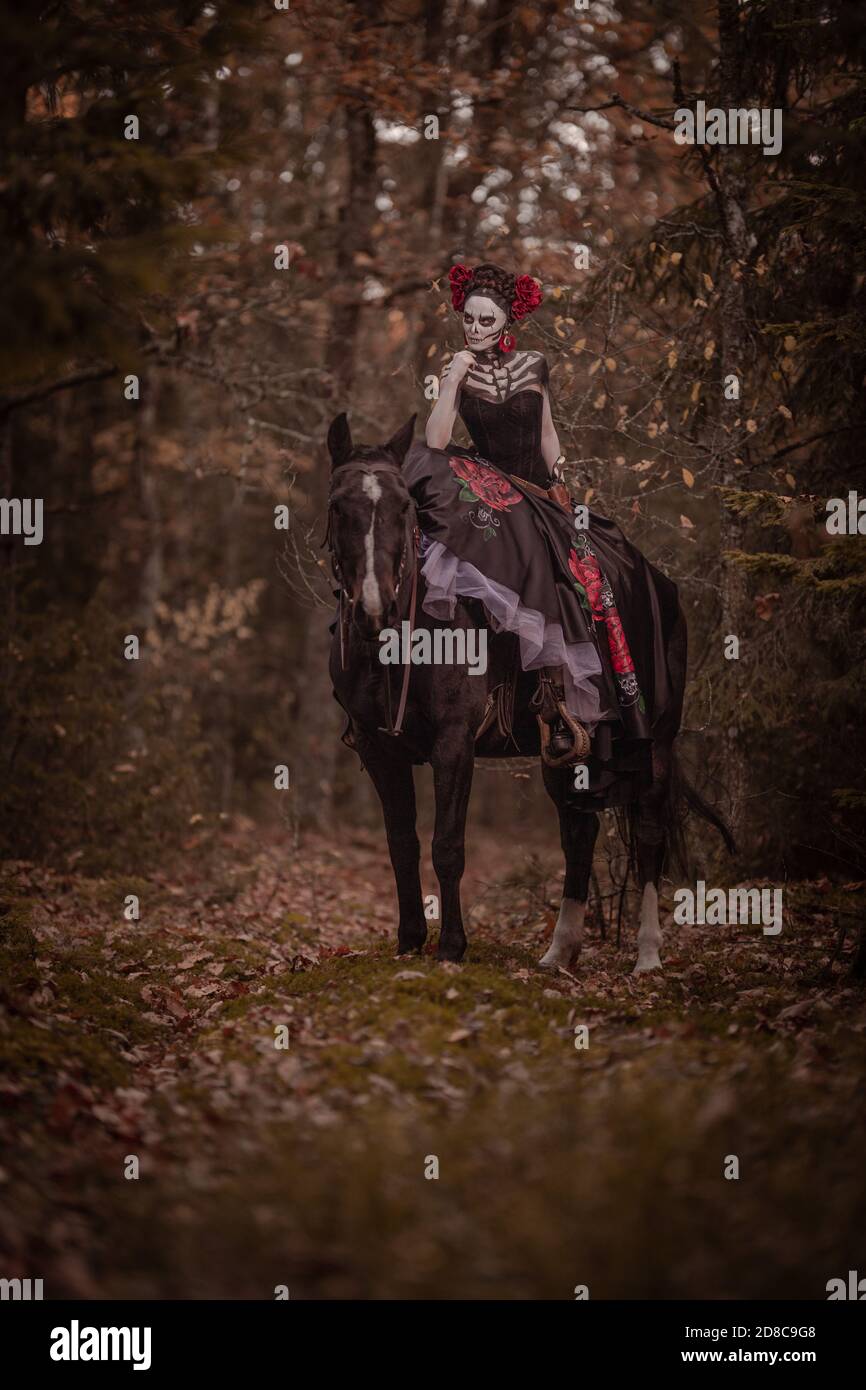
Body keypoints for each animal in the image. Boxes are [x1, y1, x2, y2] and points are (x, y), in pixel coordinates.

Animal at [325, 411, 733, 973]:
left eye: (404, 506)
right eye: (337, 507)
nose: (373, 608)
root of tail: (657, 581)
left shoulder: (454, 741)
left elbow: (447, 845)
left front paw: (451, 947)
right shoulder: (377, 746)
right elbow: (401, 843)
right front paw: (409, 941)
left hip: (656, 742)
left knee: (649, 835)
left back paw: (648, 955)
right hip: (568, 749)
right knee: (578, 833)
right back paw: (559, 953)